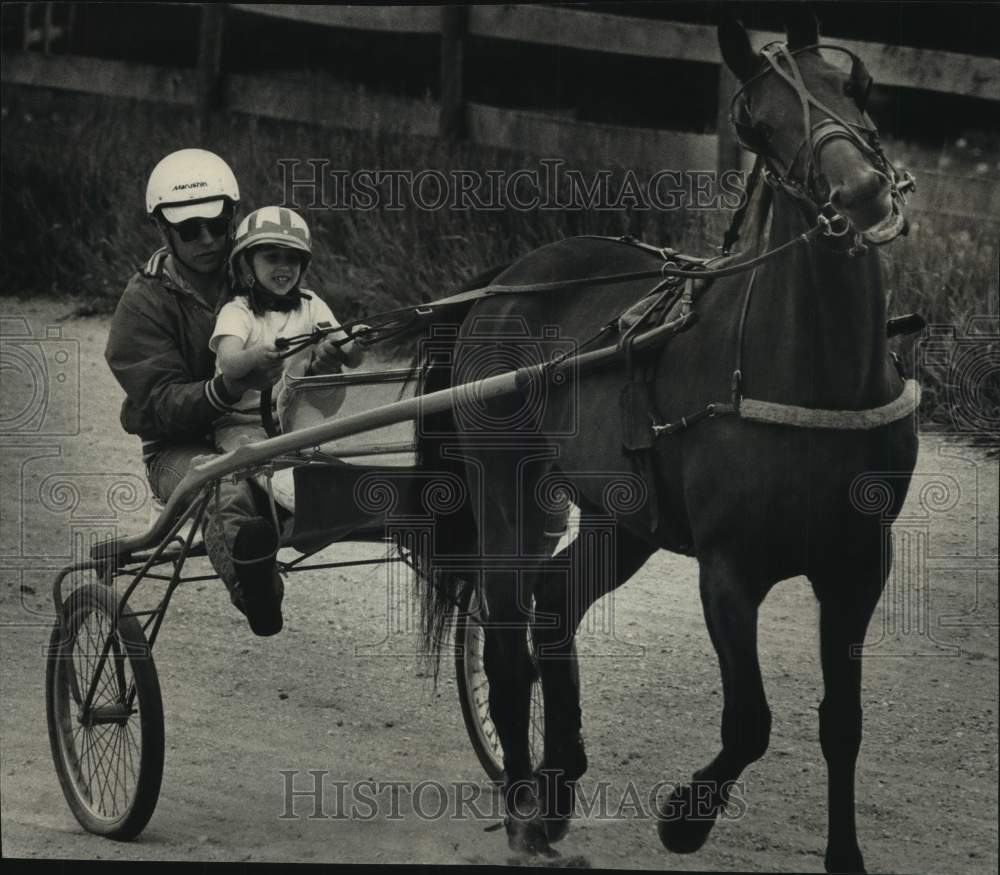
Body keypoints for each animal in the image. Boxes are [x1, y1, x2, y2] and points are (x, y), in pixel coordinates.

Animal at [410, 15, 916, 875]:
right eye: (758, 124)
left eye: (855, 86)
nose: (859, 191)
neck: (815, 379)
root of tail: (510, 278)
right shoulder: (730, 570)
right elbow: (750, 720)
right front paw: (686, 817)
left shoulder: (858, 565)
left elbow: (842, 723)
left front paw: (843, 854)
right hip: (504, 481)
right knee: (508, 642)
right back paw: (524, 809)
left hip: (626, 518)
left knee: (554, 602)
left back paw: (557, 781)